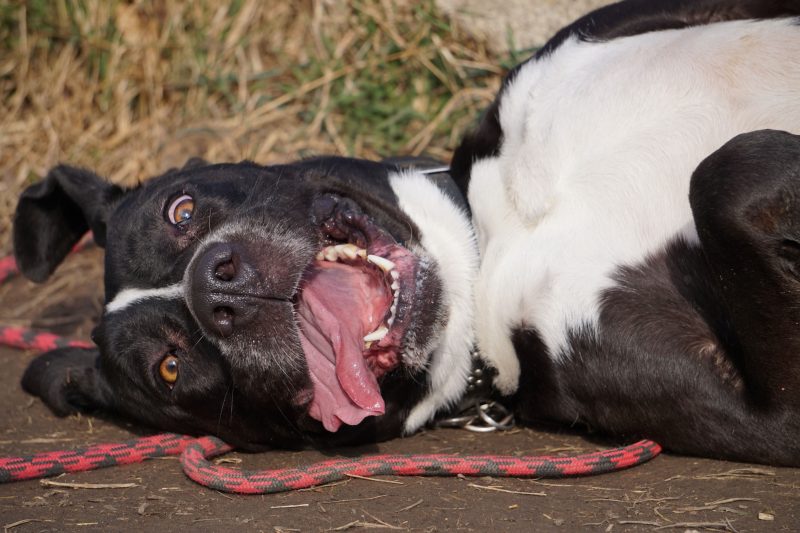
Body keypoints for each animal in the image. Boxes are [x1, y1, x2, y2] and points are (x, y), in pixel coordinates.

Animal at [10, 0, 800, 464]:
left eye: (181, 210)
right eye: (170, 368)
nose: (215, 284)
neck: (497, 235)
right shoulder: (770, 415)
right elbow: (722, 175)